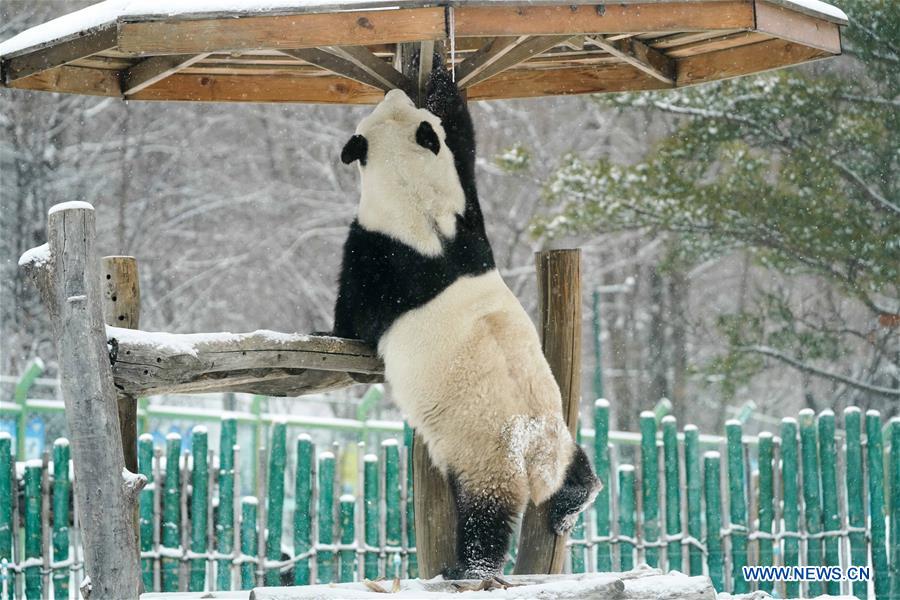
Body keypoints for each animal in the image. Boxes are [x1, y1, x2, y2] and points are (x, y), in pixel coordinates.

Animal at [332, 63, 601, 580]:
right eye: (396, 105)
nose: (394, 92)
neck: (416, 203)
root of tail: (533, 458)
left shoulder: (382, 254)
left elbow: (355, 315)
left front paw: (331, 330)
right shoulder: (467, 217)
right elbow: (464, 143)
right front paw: (443, 79)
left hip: (485, 451)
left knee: (487, 513)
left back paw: (468, 569)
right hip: (553, 430)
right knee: (573, 466)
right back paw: (576, 497)